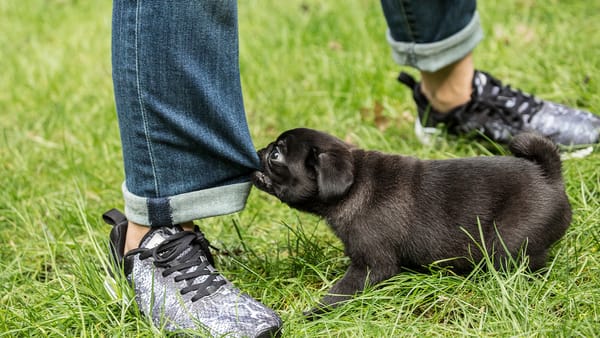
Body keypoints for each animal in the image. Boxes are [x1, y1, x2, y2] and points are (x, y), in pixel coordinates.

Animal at [251, 128, 568, 312]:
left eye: (276, 155)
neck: (354, 184)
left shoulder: (371, 266)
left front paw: (313, 314)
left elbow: (341, 293)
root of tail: (549, 177)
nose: (258, 151)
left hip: (508, 244)